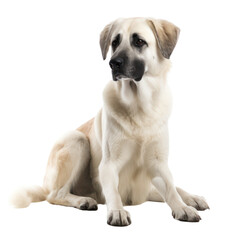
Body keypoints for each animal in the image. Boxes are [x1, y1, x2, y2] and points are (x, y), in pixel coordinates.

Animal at [12, 17, 209, 226]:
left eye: (139, 41)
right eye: (115, 42)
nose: (113, 63)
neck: (140, 107)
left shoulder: (158, 166)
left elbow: (172, 188)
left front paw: (183, 207)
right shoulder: (108, 165)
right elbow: (113, 191)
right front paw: (117, 211)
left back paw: (192, 198)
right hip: (77, 140)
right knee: (55, 194)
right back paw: (83, 200)